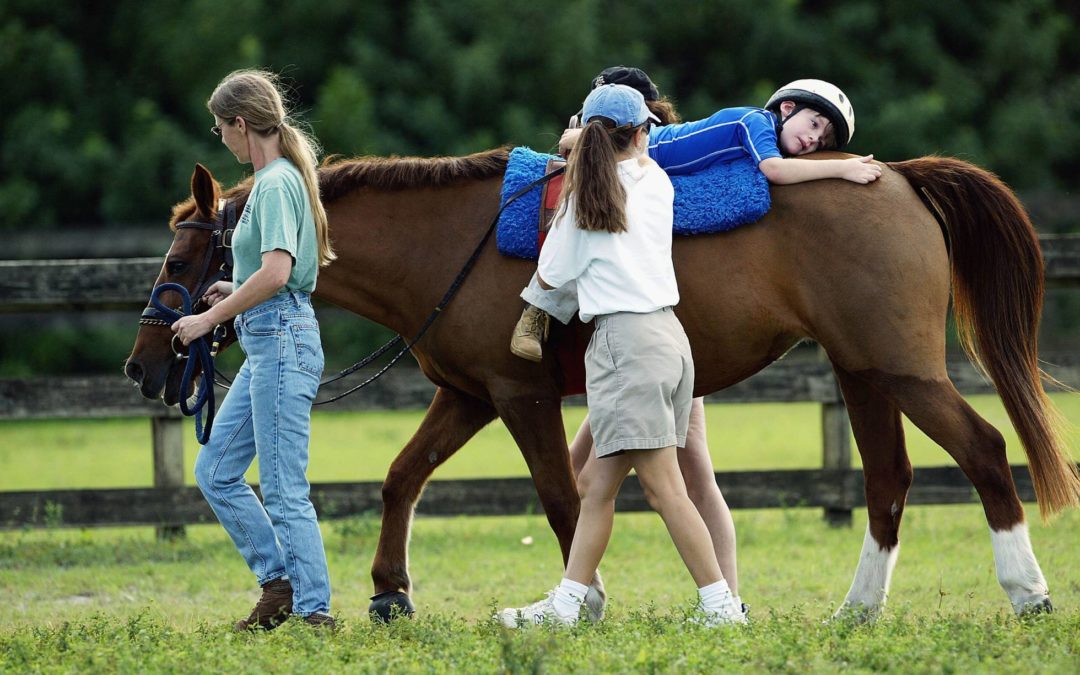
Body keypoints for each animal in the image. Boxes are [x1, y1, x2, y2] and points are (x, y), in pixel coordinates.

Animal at [126, 149, 1080, 622]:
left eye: (177, 261)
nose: (143, 363)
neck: (452, 240)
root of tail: (900, 179)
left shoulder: (519, 397)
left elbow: (561, 497)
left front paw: (583, 599)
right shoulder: (469, 394)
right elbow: (402, 478)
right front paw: (391, 589)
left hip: (904, 369)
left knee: (985, 450)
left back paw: (1027, 591)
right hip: (863, 372)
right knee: (888, 480)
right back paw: (858, 608)